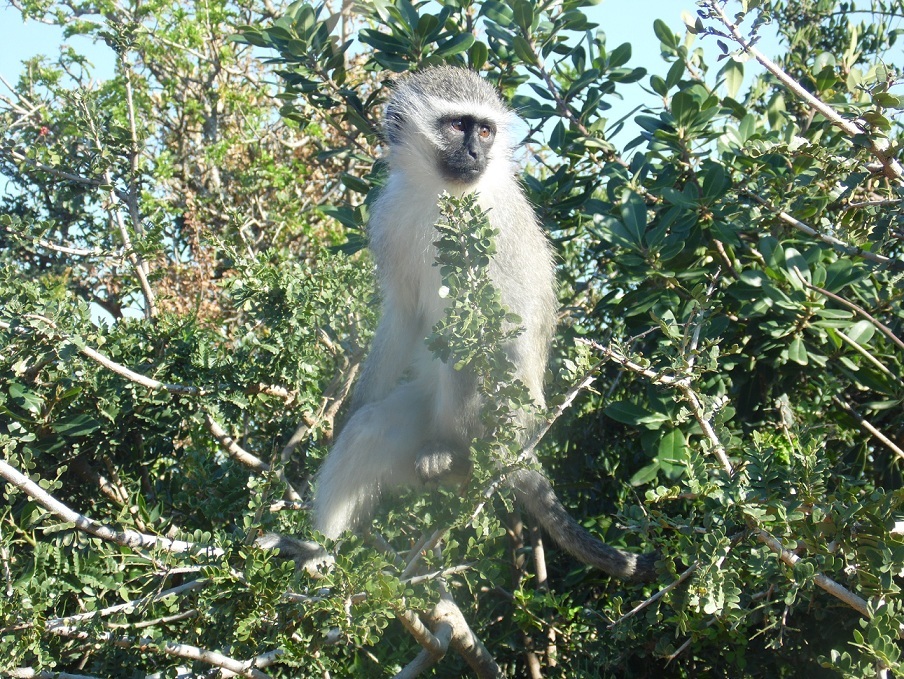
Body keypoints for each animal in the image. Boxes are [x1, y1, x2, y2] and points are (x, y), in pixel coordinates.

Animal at [280, 66, 648, 580]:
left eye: (486, 131)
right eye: (457, 126)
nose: (476, 153)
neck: (443, 195)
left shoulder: (493, 226)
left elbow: (508, 318)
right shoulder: (391, 215)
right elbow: (403, 313)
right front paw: (355, 404)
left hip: (509, 419)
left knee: (468, 354)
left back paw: (459, 461)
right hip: (422, 412)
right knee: (371, 430)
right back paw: (320, 557)